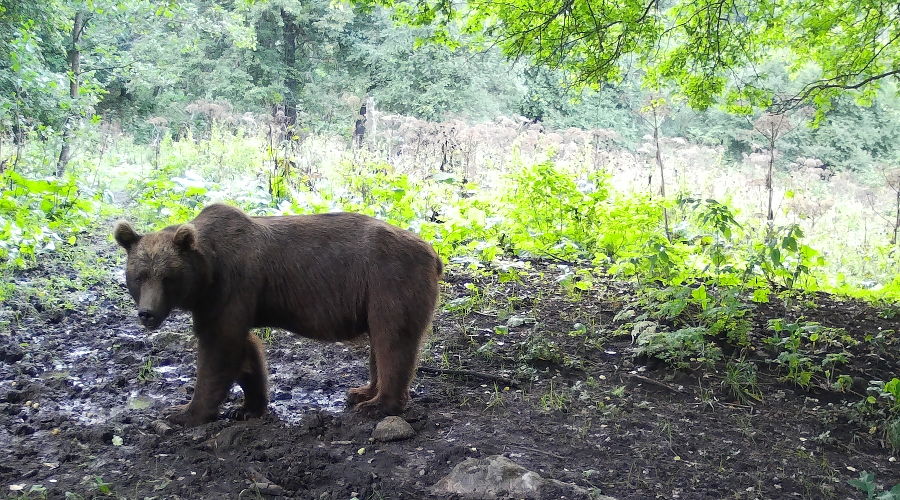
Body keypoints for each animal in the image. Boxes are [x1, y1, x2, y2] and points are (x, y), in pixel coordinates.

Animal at [114, 202, 442, 426]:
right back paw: (361, 392)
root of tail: (432, 252)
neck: (207, 271)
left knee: (392, 340)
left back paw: (378, 404)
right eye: (139, 276)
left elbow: (218, 348)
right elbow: (244, 351)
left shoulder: (231, 286)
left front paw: (184, 412)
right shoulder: (223, 300)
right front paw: (248, 407)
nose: (147, 313)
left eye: (167, 277)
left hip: (389, 279)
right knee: (380, 340)